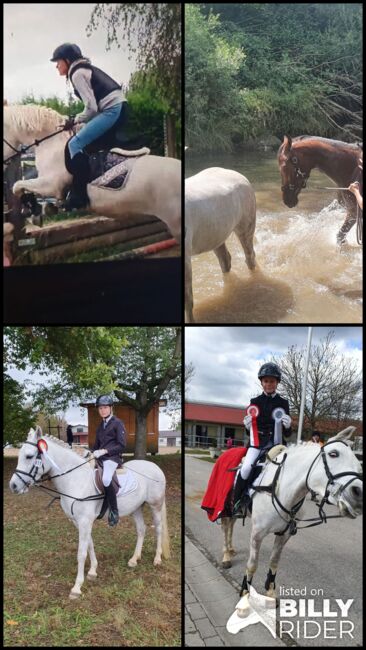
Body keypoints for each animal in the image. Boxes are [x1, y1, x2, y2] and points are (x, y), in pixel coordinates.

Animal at [2, 104, 180, 240]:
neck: (50, 142)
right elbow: (23, 187)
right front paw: (38, 211)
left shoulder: (52, 184)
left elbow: (18, 186)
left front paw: (33, 210)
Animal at [9, 426, 170, 596]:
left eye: (29, 456)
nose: (13, 486)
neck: (76, 480)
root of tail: (154, 467)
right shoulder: (79, 522)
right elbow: (90, 545)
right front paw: (92, 571)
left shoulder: (85, 521)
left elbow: (81, 553)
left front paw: (77, 587)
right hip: (136, 508)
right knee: (141, 530)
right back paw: (134, 559)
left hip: (155, 506)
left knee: (158, 529)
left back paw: (157, 559)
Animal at [184, 166, 256, 320]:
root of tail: (242, 177)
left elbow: (188, 300)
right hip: (216, 236)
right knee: (225, 260)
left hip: (246, 228)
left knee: (250, 257)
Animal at [219, 428, 362, 616]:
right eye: (333, 454)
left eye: (358, 463)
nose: (359, 494)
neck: (280, 489)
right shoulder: (257, 534)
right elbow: (252, 565)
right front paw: (244, 597)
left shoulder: (284, 534)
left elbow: (274, 561)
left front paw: (270, 592)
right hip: (227, 508)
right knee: (226, 527)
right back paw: (226, 555)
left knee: (231, 526)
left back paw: (231, 550)